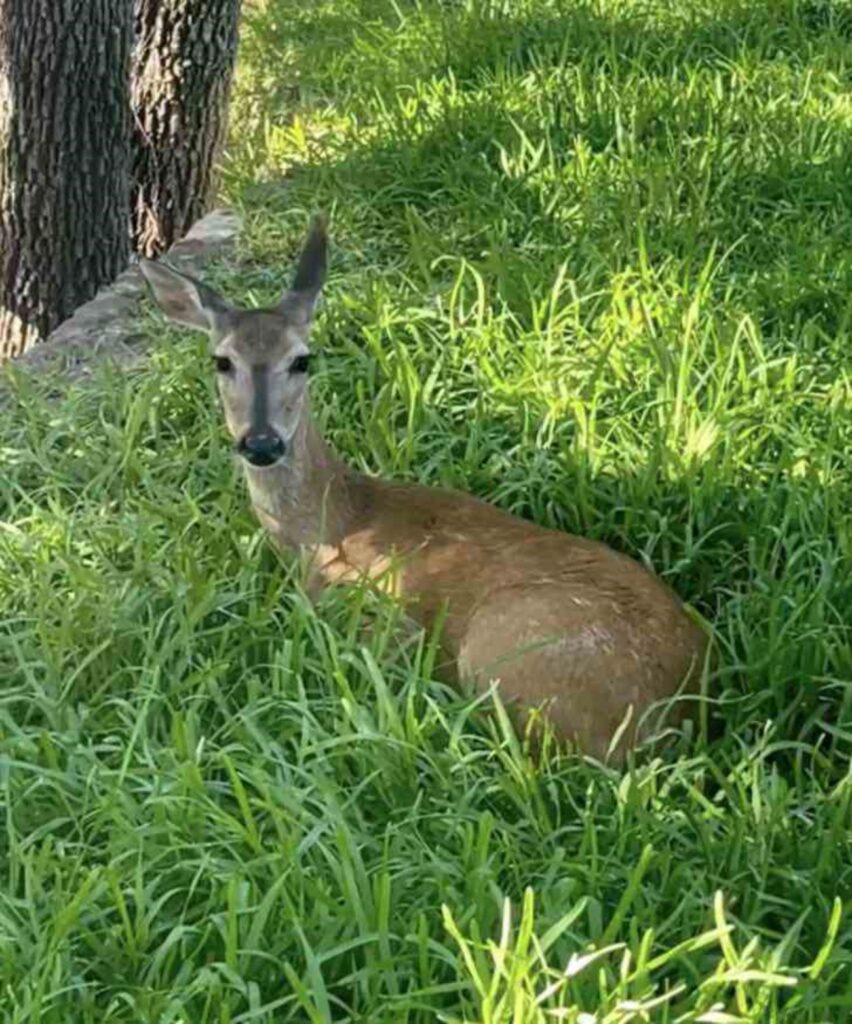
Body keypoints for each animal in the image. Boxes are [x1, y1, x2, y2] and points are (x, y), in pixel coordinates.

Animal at [139, 220, 708, 765]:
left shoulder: (381, 619)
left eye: (302, 359)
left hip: (502, 648)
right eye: (221, 361)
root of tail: (674, 715)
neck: (325, 527)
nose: (261, 442)